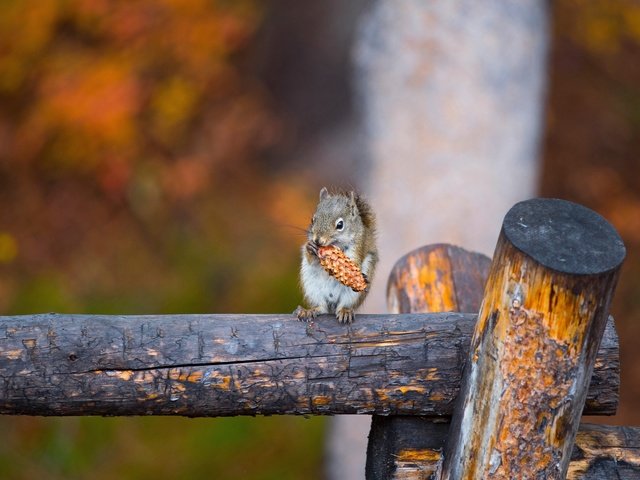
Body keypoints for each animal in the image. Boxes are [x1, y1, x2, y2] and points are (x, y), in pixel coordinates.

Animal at [294, 186, 378, 324]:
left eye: (340, 225)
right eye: (313, 220)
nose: (317, 240)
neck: (335, 244)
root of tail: (332, 304)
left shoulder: (358, 245)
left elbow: (353, 263)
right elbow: (310, 258)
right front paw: (310, 248)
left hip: (353, 295)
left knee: (344, 305)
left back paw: (345, 311)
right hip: (311, 286)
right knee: (321, 307)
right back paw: (310, 311)